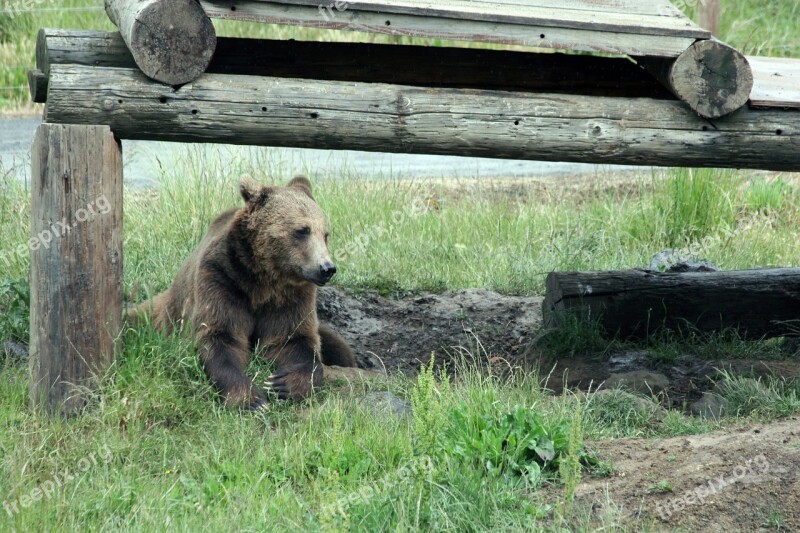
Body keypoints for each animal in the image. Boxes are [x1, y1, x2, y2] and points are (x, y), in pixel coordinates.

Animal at [130, 175, 354, 408]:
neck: (262, 283)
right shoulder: (221, 280)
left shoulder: (291, 296)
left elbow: (294, 339)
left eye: (325, 234)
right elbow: (221, 337)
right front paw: (251, 400)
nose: (326, 268)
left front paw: (283, 384)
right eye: (302, 230)